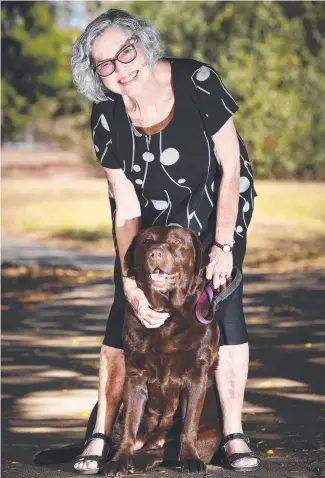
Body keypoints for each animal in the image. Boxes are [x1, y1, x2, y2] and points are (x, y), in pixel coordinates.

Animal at [106, 227, 220, 474]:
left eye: (176, 242)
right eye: (146, 241)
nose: (155, 253)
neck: (168, 313)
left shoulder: (196, 375)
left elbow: (189, 425)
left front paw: (190, 459)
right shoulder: (135, 375)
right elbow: (129, 426)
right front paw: (119, 461)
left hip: (212, 433)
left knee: (164, 450)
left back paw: (143, 460)